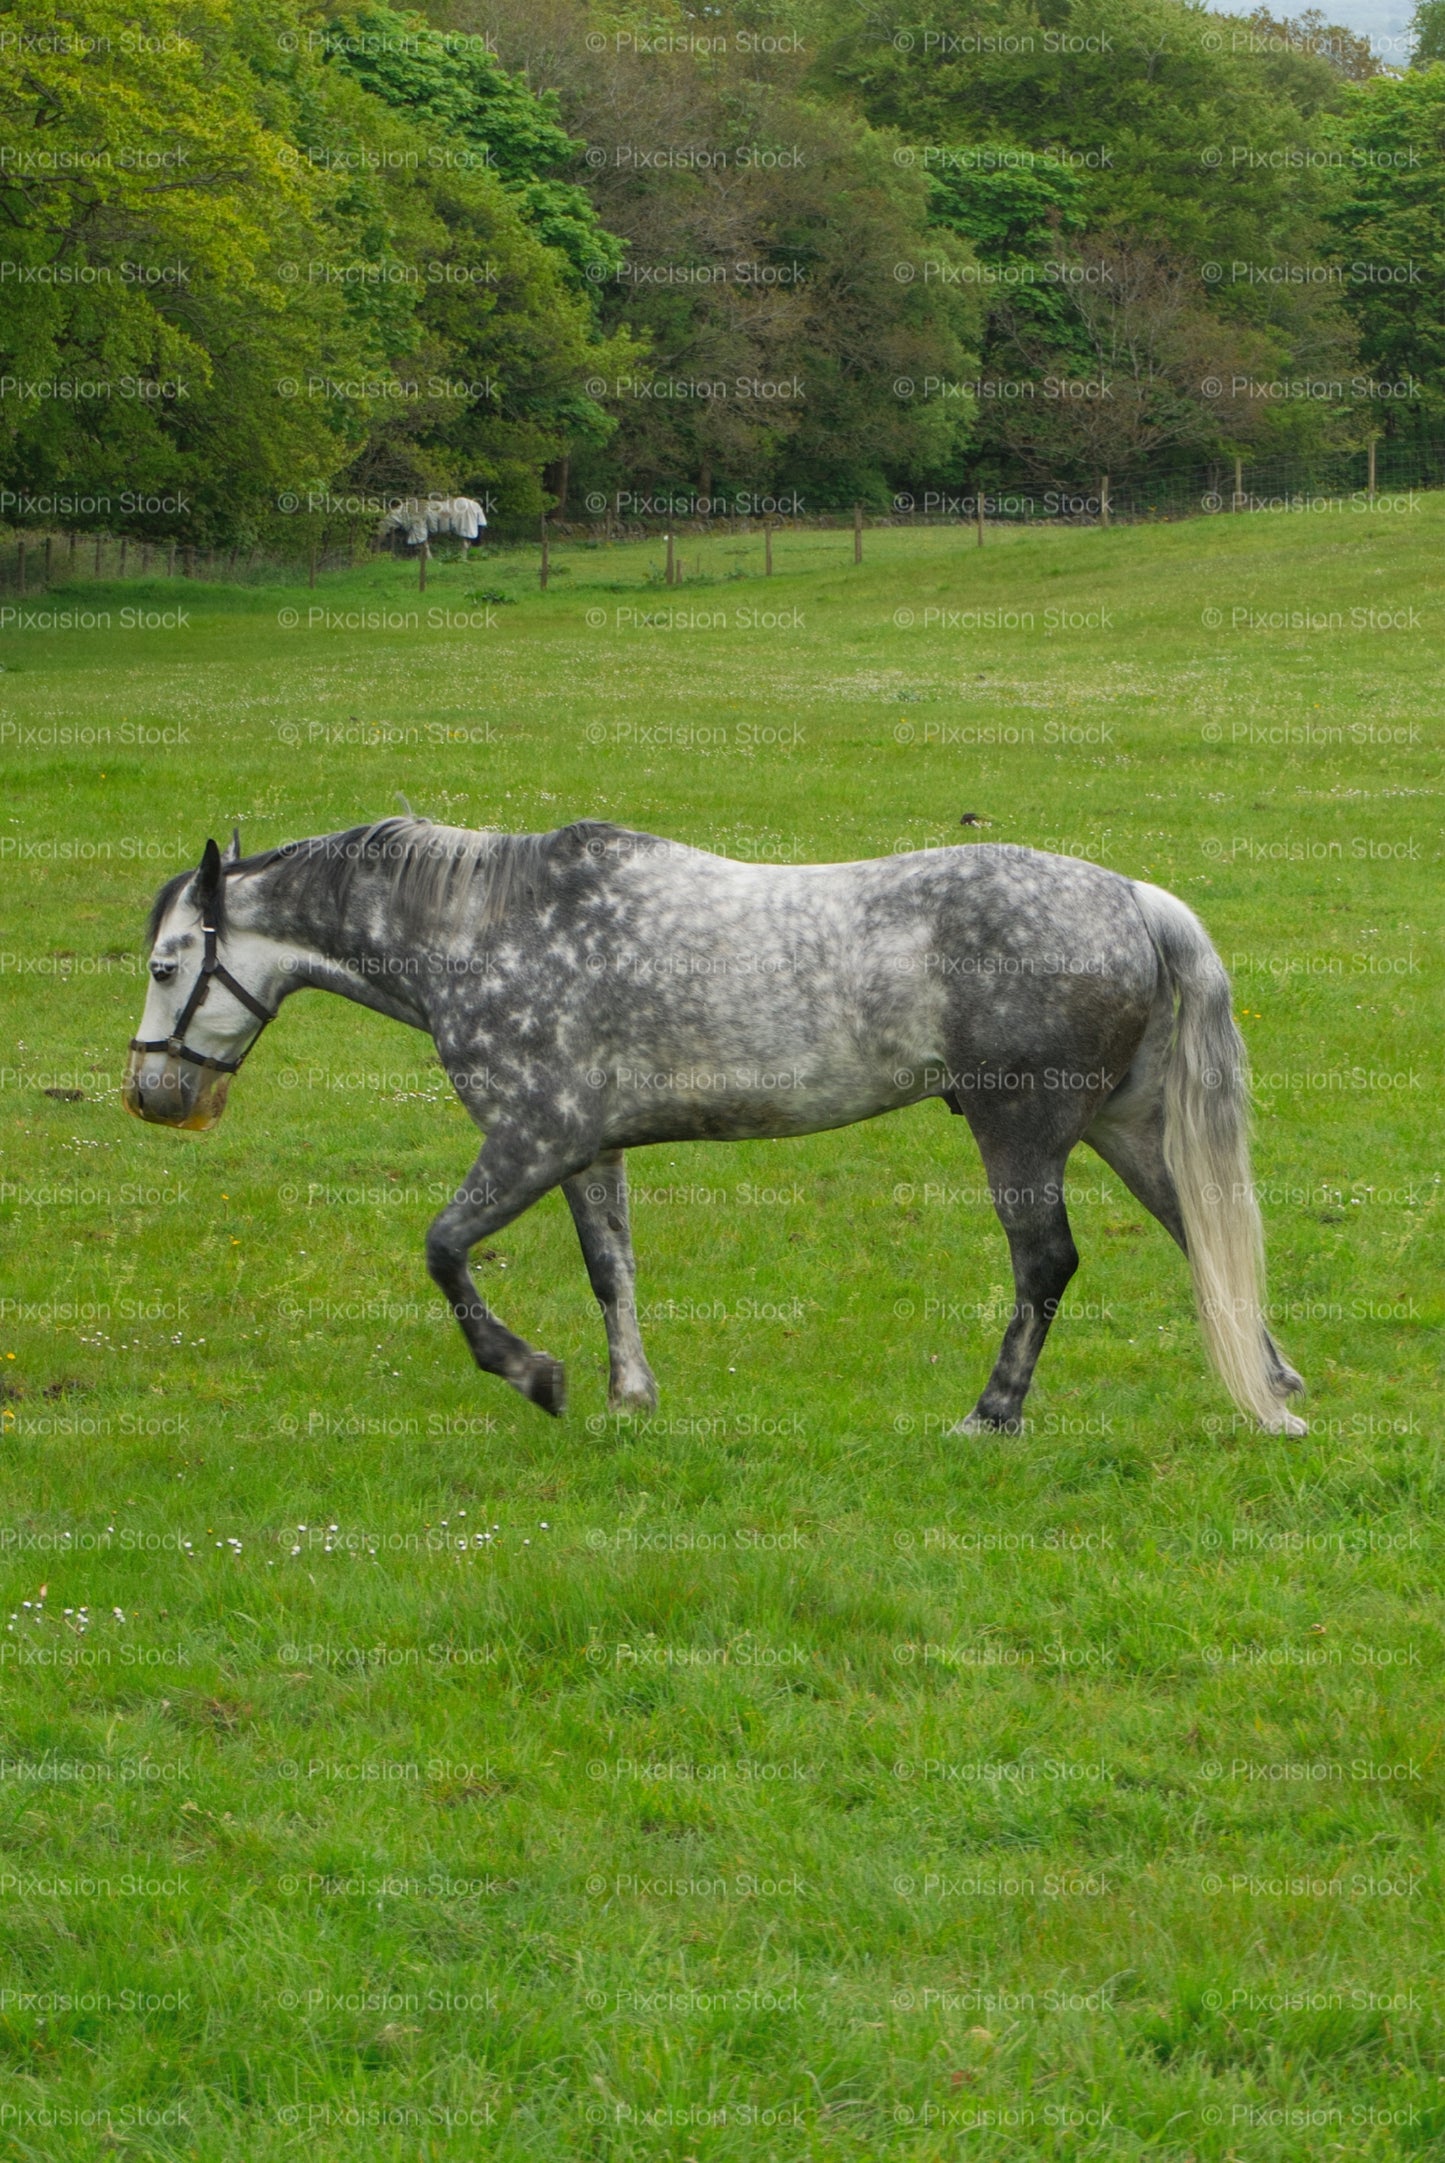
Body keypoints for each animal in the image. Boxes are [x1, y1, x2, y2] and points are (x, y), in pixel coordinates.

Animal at [124, 819, 1307, 1435]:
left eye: (168, 964)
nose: (153, 1095)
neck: (492, 934)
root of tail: (1131, 896)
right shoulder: (587, 1150)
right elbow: (610, 1271)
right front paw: (629, 1396)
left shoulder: (532, 1139)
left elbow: (445, 1251)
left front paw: (533, 1374)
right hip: (1123, 1126)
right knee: (1201, 1235)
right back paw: (1276, 1389)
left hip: (1021, 1133)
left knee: (1046, 1264)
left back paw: (992, 1414)